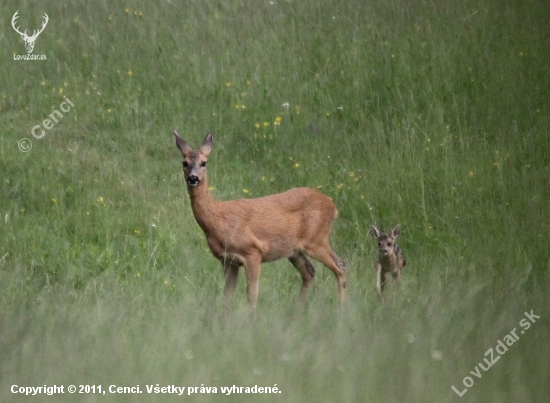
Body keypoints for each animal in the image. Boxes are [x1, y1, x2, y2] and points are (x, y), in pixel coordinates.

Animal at [176, 133, 350, 312]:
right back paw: (297, 312)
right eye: (184, 163)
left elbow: (251, 296)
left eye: (204, 162)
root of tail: (332, 205)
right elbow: (228, 298)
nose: (193, 178)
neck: (219, 220)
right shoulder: (228, 261)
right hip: (294, 250)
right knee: (310, 271)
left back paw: (341, 311)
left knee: (341, 266)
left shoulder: (253, 251)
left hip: (316, 240)